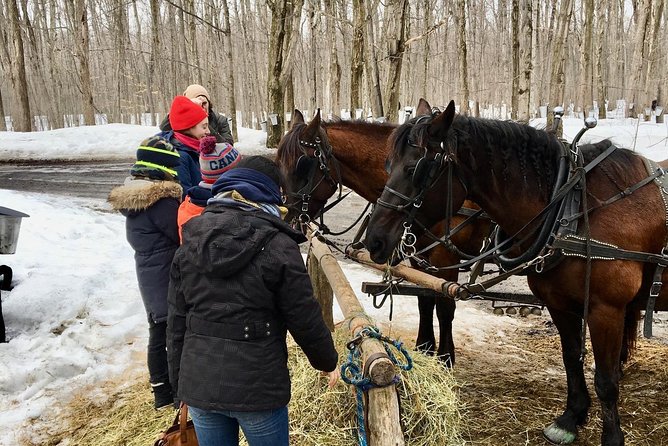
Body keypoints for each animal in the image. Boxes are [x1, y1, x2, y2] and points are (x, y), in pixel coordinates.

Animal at [276, 109, 490, 366]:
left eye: (302, 165)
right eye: (278, 164)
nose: (288, 218)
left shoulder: (445, 256)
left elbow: (444, 305)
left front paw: (445, 358)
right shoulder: (419, 255)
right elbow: (425, 300)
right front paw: (425, 347)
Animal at [366, 99, 668, 444]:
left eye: (416, 169)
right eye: (388, 164)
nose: (374, 239)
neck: (571, 206)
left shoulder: (607, 309)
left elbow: (605, 380)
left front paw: (611, 436)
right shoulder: (559, 304)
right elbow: (571, 358)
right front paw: (571, 417)